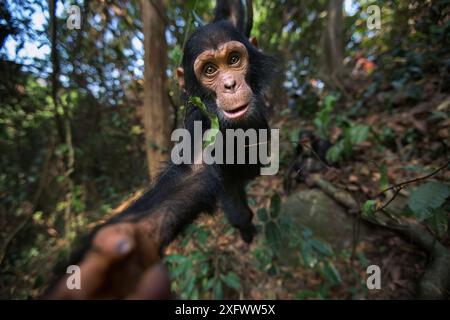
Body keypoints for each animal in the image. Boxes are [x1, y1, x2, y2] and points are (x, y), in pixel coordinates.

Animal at [47, 0, 276, 300]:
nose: (230, 84)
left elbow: (230, 15)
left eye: (234, 60)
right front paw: (112, 270)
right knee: (237, 209)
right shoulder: (202, 129)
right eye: (210, 70)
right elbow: (187, 180)